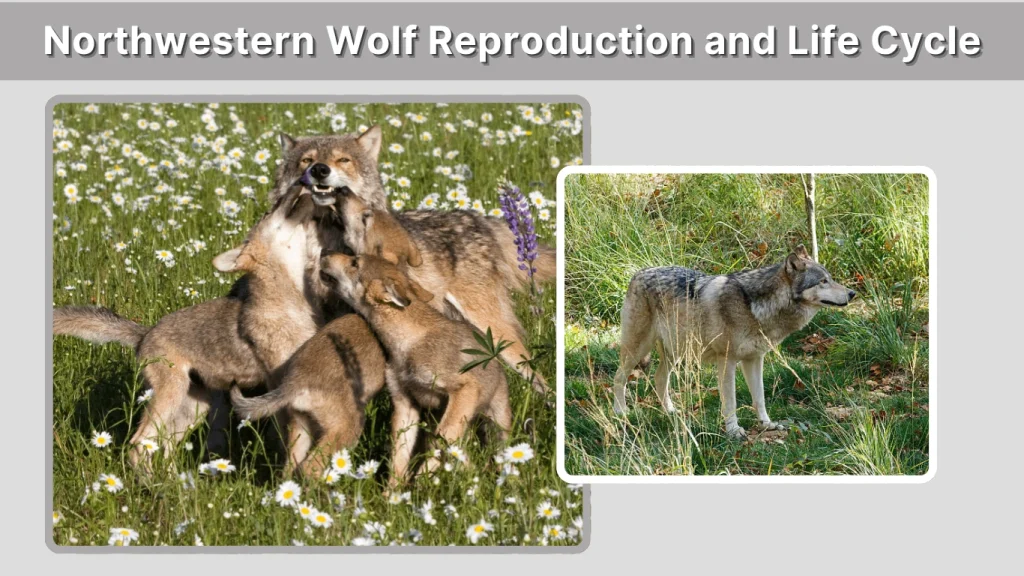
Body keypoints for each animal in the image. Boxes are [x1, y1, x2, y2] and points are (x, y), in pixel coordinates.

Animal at [53, 187, 320, 467]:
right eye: (270, 212)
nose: (301, 184)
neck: (289, 301)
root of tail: (144, 334)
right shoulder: (279, 384)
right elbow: (288, 440)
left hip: (193, 408)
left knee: (163, 447)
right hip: (171, 397)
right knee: (138, 445)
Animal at [319, 251, 512, 482]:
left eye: (355, 262)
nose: (324, 253)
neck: (408, 343)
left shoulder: (465, 387)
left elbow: (441, 439)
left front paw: (422, 479)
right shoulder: (404, 403)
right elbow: (398, 458)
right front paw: (396, 491)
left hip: (498, 424)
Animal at [612, 245, 856, 438]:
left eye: (830, 278)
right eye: (823, 281)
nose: (852, 293)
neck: (754, 308)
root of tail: (638, 273)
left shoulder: (754, 359)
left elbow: (759, 398)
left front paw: (767, 425)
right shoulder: (727, 361)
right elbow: (731, 401)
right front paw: (733, 431)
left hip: (676, 353)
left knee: (659, 378)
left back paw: (670, 412)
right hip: (638, 349)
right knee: (619, 377)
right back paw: (621, 412)